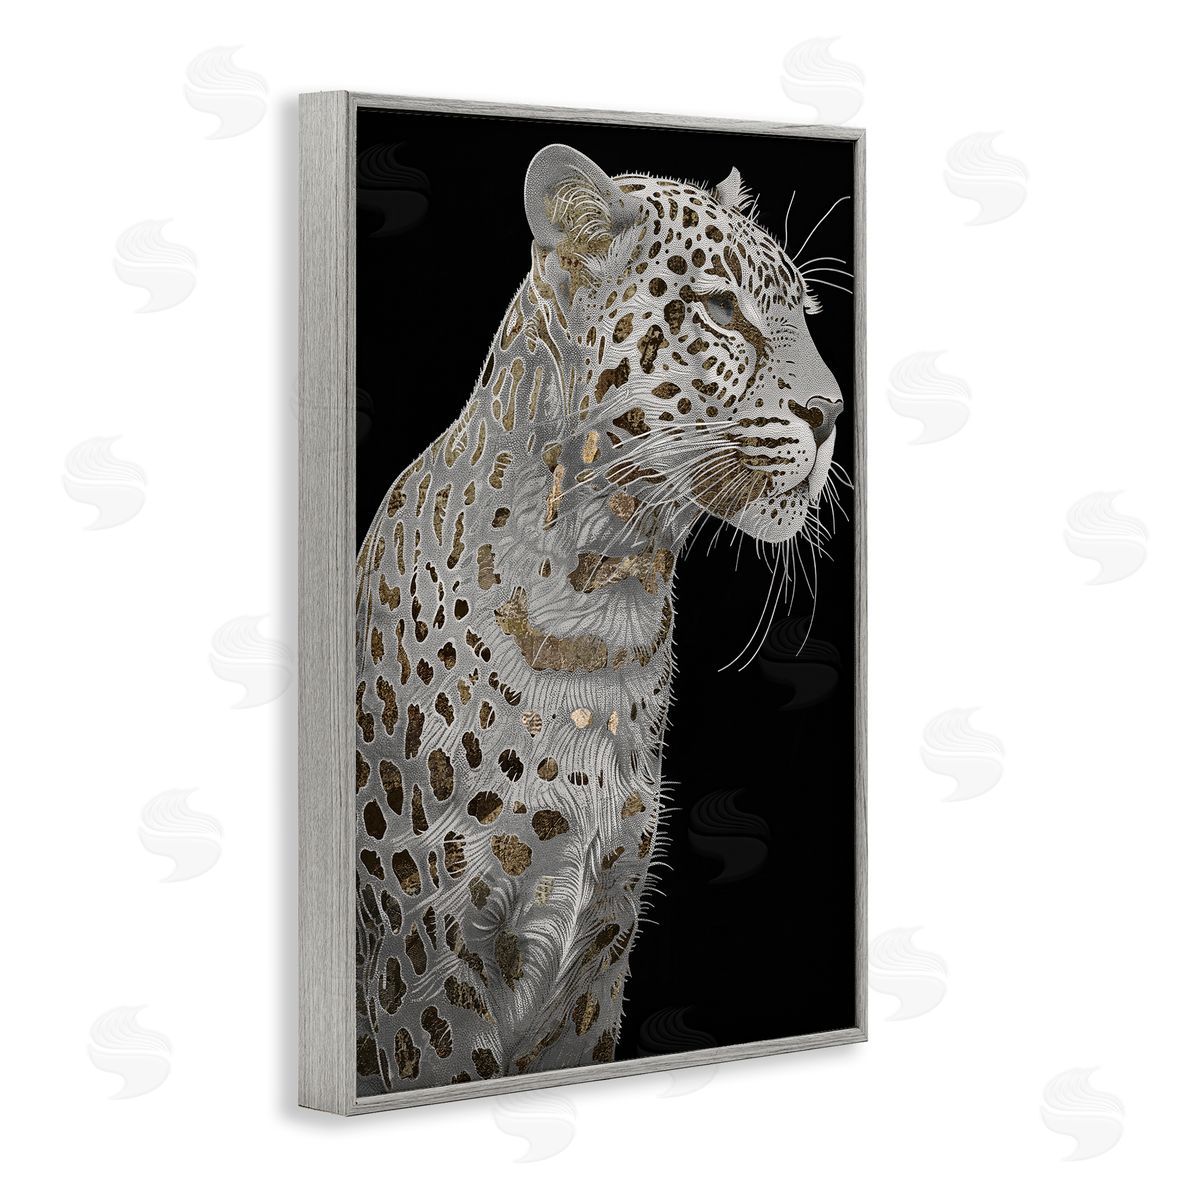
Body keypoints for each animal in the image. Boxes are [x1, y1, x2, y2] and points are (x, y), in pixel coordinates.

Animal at [353, 142, 846, 1094]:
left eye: (801, 315)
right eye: (721, 310)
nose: (834, 413)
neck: (606, 599)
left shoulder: (601, 946)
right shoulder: (431, 962)